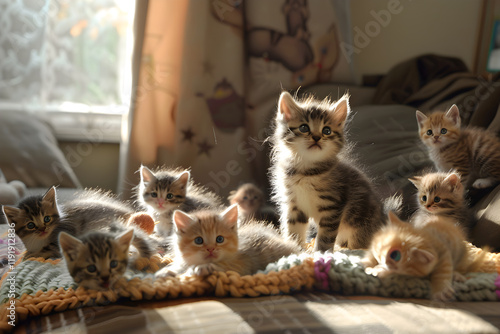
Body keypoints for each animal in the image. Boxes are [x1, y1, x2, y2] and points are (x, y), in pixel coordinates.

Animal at [154, 205, 298, 278]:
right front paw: (165, 272)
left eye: (220, 239)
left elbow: (223, 266)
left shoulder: (243, 264)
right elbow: (178, 266)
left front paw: (204, 268)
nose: (211, 249)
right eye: (199, 240)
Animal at [270, 91, 386, 250]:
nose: (317, 138)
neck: (306, 171)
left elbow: (325, 238)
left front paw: (320, 252)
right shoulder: (294, 206)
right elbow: (294, 232)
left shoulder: (333, 207)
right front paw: (296, 249)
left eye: (327, 131)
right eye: (304, 128)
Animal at [362, 213, 490, 302]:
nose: (384, 262)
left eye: (395, 256)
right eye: (382, 245)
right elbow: (371, 252)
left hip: (461, 256)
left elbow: (442, 272)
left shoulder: (443, 253)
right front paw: (366, 262)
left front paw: (440, 291)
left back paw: (457, 275)